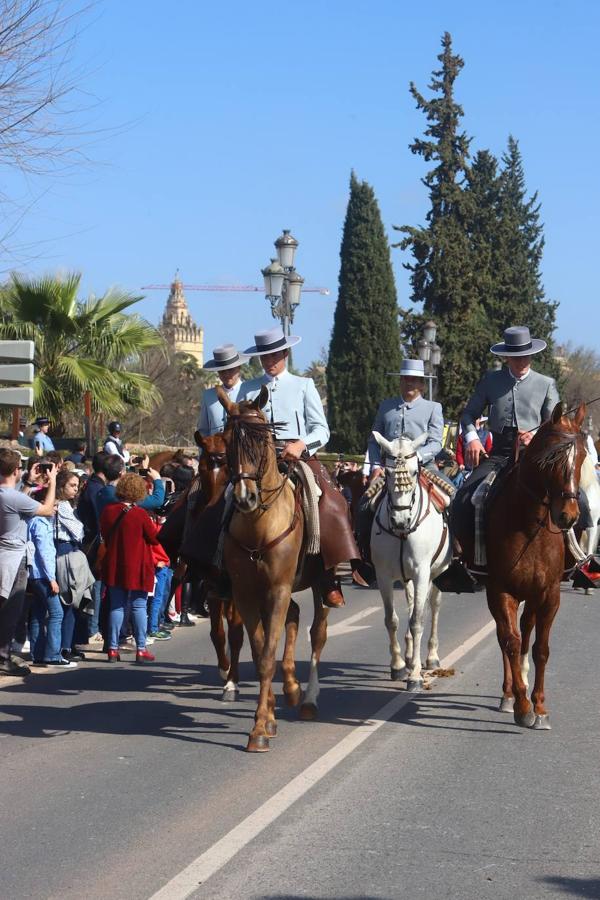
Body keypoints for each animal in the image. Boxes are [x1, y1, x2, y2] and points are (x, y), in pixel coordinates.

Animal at [220, 384, 330, 752]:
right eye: (226, 441)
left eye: (261, 439)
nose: (245, 498)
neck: (259, 524)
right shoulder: (246, 594)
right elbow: (258, 652)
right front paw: (266, 719)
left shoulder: (278, 589)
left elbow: (268, 656)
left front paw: (257, 729)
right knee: (294, 616)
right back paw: (293, 689)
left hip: (320, 586)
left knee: (317, 632)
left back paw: (308, 698)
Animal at [370, 430, 450, 688]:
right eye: (386, 472)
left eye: (415, 472)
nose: (400, 520)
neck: (402, 533)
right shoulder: (383, 576)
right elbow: (391, 619)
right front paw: (398, 666)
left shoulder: (422, 573)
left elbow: (418, 620)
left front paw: (414, 674)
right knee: (413, 601)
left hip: (436, 573)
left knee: (433, 606)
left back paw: (431, 657)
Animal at [458, 404, 584, 728]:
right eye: (551, 458)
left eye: (581, 457)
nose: (568, 516)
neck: (530, 528)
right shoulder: (500, 591)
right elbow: (511, 642)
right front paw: (522, 705)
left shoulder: (550, 594)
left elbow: (540, 648)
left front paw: (539, 705)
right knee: (508, 638)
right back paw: (509, 694)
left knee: (527, 629)